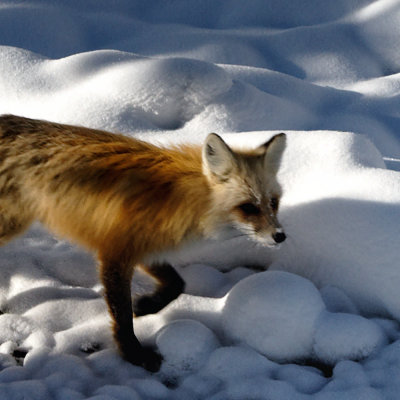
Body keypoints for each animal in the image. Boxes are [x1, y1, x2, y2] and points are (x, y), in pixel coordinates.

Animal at [0, 115, 288, 372]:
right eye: (248, 207)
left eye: (273, 202)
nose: (280, 236)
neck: (176, 196)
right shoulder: (116, 253)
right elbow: (122, 316)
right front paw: (133, 354)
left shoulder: (145, 248)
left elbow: (176, 285)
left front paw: (147, 306)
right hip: (10, 226)